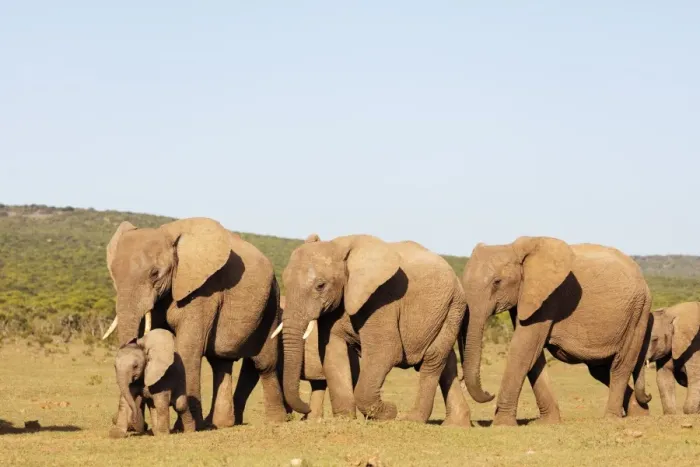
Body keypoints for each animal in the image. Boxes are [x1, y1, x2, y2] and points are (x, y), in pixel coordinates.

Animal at [101, 217, 286, 430]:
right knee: (220, 363)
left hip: (272, 301)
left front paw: (182, 428)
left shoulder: (204, 290)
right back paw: (219, 424)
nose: (132, 426)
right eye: (114, 275)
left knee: (263, 364)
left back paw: (276, 420)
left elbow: (188, 348)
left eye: (155, 273)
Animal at [276, 233, 472, 427]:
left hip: (453, 306)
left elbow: (386, 350)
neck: (338, 246)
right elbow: (332, 351)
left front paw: (389, 412)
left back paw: (412, 419)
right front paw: (344, 419)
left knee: (432, 358)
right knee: (446, 361)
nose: (305, 411)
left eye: (320, 285)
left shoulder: (382, 297)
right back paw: (455, 424)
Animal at [461, 236, 652, 426]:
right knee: (599, 370)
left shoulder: (549, 298)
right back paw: (640, 413)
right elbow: (534, 357)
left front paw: (502, 424)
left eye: (497, 282)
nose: (489, 393)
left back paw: (611, 417)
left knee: (620, 366)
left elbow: (523, 350)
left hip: (637, 313)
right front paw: (547, 422)